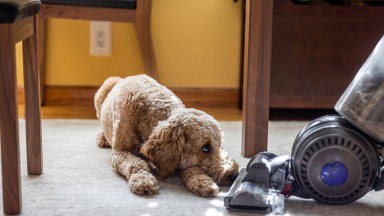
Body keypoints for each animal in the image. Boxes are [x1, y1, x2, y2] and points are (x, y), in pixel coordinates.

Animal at [94, 75, 238, 197]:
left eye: (220, 144)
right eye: (206, 148)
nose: (234, 175)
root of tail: (123, 78)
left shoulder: (174, 160)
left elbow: (191, 168)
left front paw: (202, 181)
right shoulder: (120, 152)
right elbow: (136, 163)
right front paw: (143, 180)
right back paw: (103, 138)